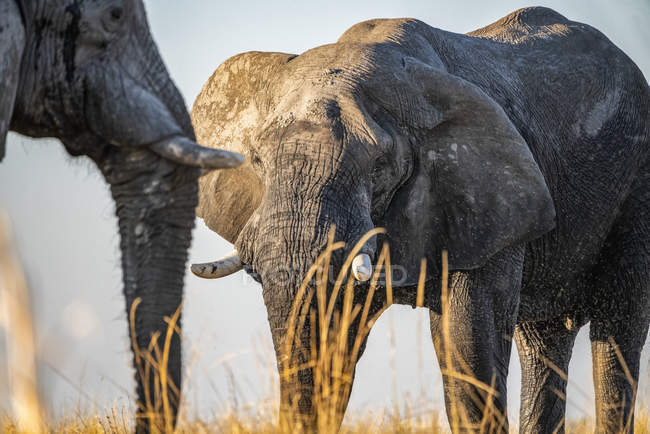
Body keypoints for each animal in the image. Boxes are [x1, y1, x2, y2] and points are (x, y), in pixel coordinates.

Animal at [192, 7, 648, 434]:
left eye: (379, 165)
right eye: (256, 160)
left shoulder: (482, 196)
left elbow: (467, 345)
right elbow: (336, 344)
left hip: (637, 186)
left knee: (618, 332)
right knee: (543, 339)